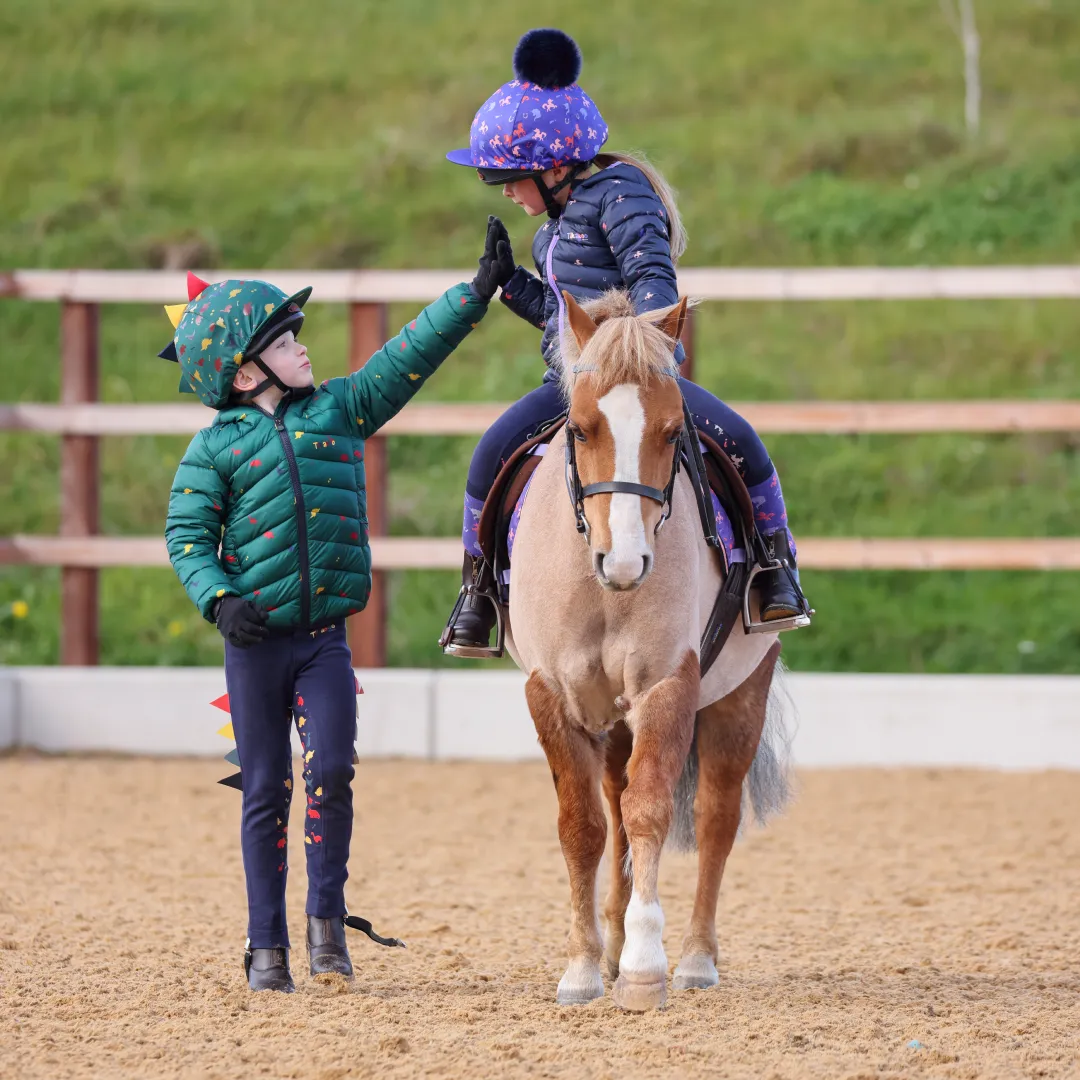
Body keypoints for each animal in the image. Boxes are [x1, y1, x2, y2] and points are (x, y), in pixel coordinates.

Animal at [501, 289, 790, 1010]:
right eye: (579, 430)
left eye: (670, 431)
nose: (626, 561)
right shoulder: (553, 693)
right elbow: (582, 826)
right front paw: (583, 968)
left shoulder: (667, 686)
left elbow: (652, 811)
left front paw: (643, 966)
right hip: (612, 720)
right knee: (612, 802)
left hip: (740, 695)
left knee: (714, 817)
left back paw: (694, 960)